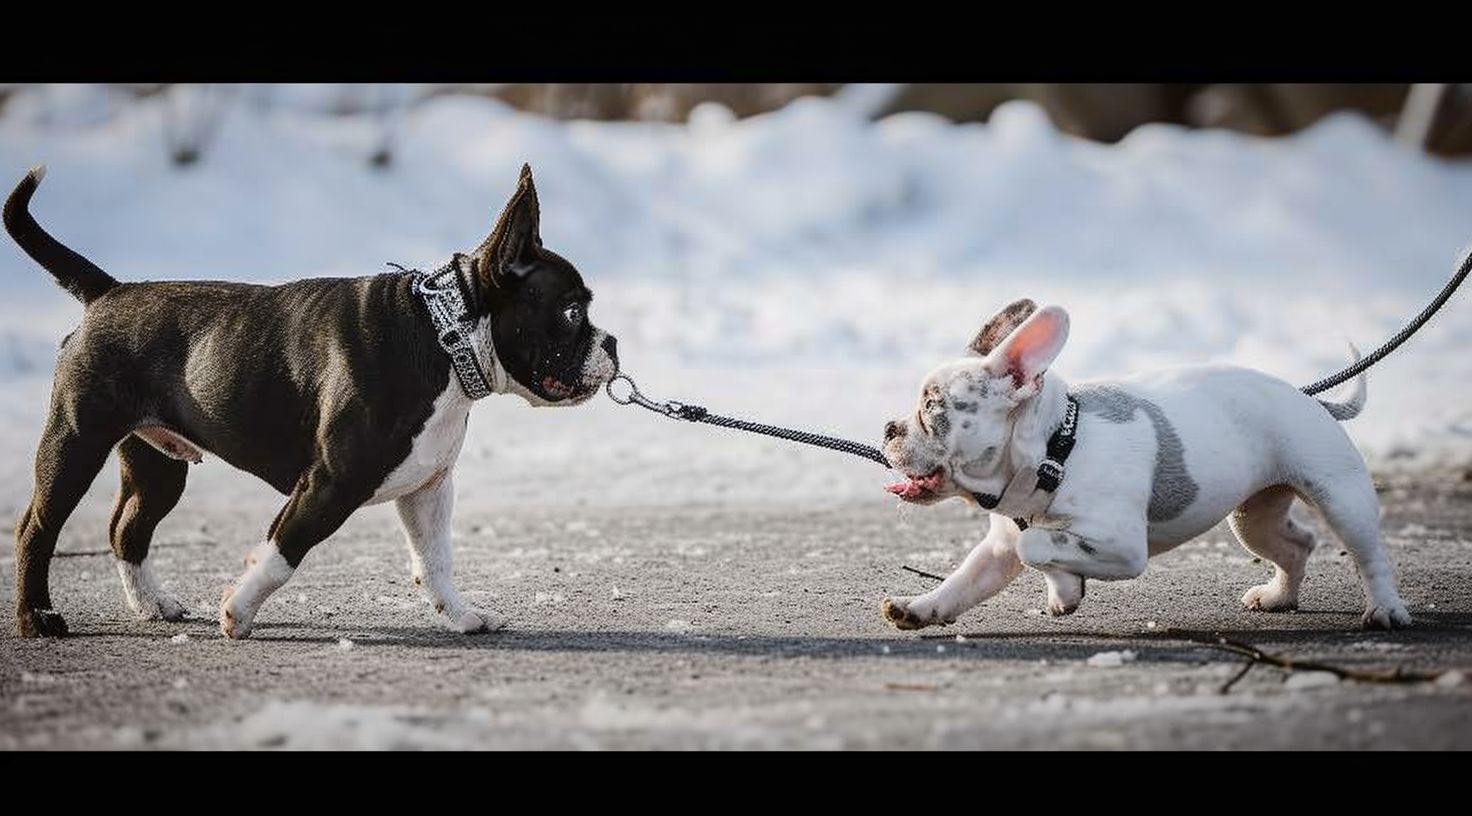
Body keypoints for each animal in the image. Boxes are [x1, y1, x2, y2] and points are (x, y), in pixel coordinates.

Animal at [877, 297, 1407, 627]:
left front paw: (1064, 588)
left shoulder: (1123, 545)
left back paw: (1385, 610)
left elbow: (1036, 545)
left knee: (1369, 555)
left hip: (1341, 496)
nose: (889, 428)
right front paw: (918, 608)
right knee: (1297, 543)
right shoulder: (998, 548)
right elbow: (965, 581)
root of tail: (1308, 398)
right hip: (1252, 517)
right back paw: (1279, 597)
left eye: (932, 407)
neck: (1055, 451)